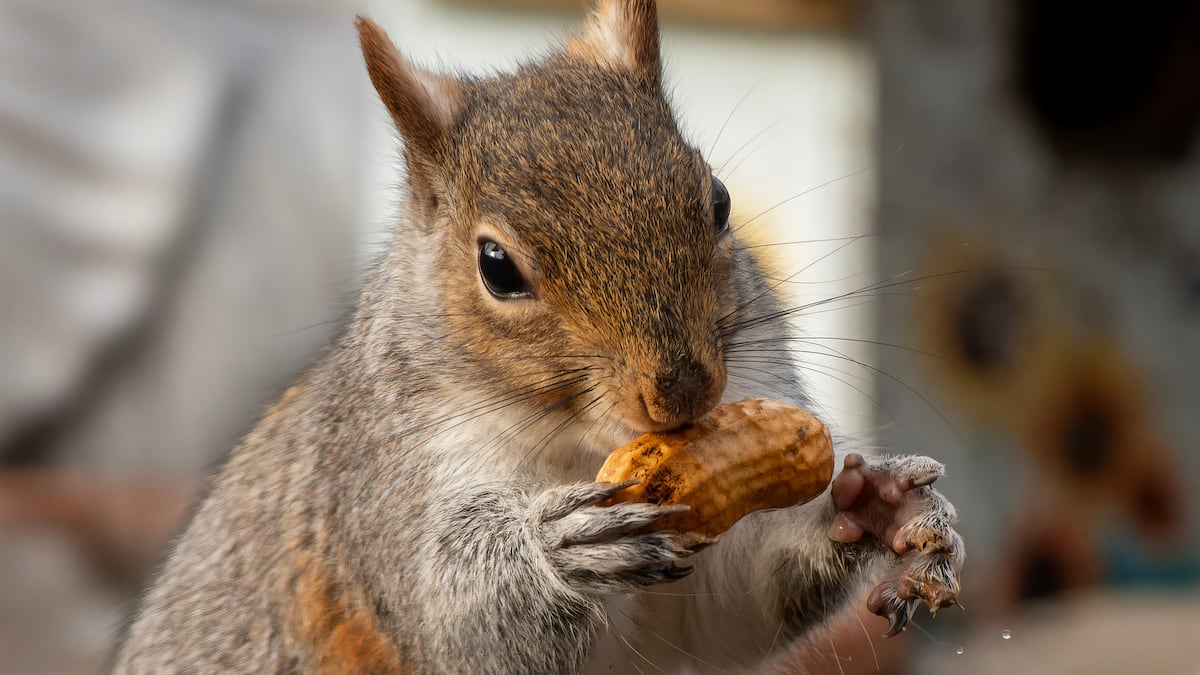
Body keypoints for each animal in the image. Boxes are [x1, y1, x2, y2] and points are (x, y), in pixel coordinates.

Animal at [113, 2, 964, 673]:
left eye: (719, 201)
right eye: (496, 266)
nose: (682, 390)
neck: (582, 446)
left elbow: (731, 609)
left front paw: (877, 502)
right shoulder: (385, 484)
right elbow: (456, 621)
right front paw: (557, 548)